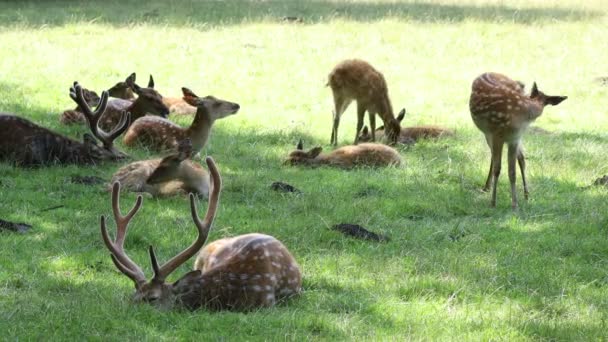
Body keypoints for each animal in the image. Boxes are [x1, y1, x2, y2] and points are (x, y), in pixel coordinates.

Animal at [468, 72, 568, 208]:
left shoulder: (515, 137)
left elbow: (512, 171)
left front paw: (515, 204)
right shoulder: (496, 134)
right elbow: (498, 169)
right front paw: (493, 202)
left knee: (519, 158)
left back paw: (525, 194)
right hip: (487, 132)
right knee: (494, 158)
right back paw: (487, 187)